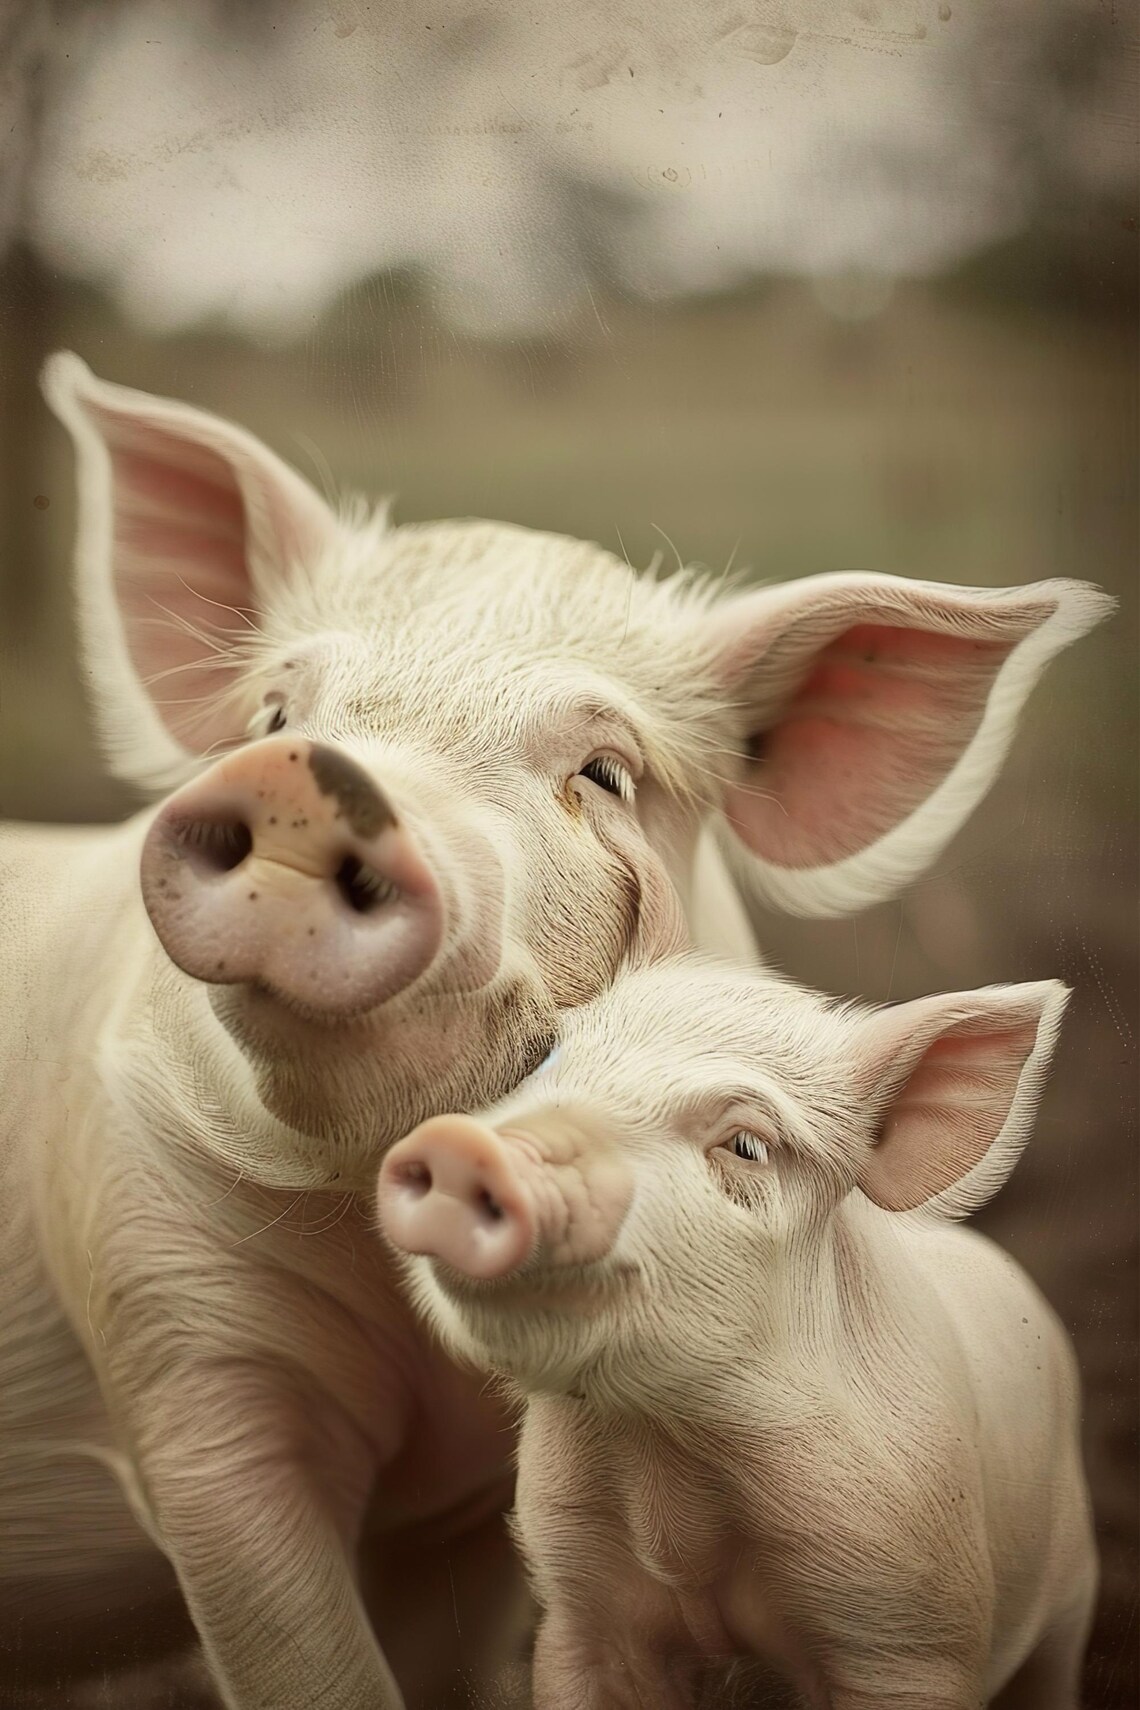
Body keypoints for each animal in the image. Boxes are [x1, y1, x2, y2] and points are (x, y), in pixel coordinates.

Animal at [378, 959, 1096, 1710]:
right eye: (546, 1061)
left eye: (746, 1146)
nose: (464, 1146)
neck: (668, 1453)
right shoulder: (577, 1607)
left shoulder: (907, 1633)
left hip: (1071, 1586)